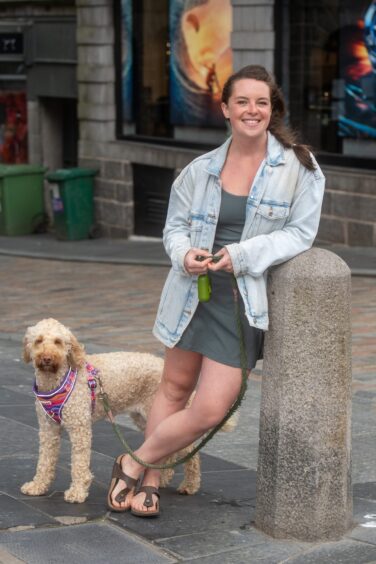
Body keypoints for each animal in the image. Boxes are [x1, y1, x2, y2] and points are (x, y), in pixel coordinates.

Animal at [21, 316, 209, 504]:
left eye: (58, 342)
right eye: (38, 341)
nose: (47, 358)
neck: (57, 380)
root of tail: (163, 364)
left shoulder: (79, 428)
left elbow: (79, 463)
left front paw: (77, 492)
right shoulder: (48, 428)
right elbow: (44, 460)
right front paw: (38, 486)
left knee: (190, 453)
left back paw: (190, 485)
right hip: (143, 417)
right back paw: (163, 478)